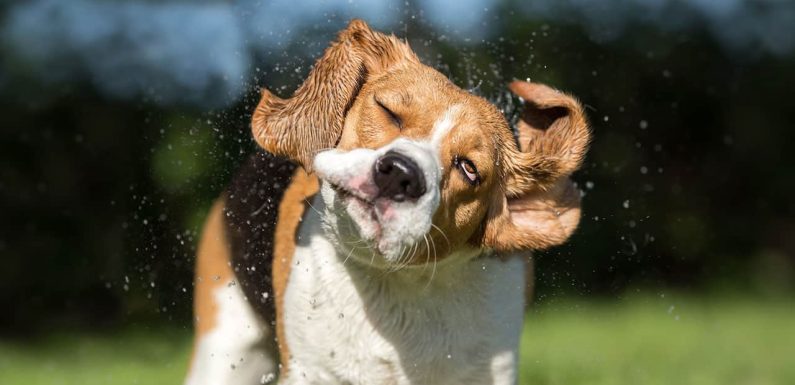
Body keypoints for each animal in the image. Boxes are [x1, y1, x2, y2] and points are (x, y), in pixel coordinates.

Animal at [183, 18, 588, 384]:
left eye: (469, 169)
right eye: (388, 111)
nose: (400, 173)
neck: (397, 282)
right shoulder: (309, 370)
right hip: (224, 349)